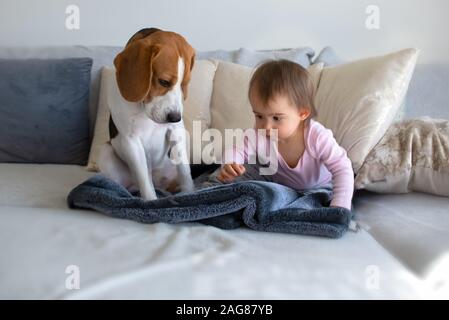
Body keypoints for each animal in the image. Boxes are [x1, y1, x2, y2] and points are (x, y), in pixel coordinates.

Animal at [97, 28, 195, 200]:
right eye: (163, 82)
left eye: (184, 85)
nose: (175, 118)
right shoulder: (131, 141)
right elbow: (145, 181)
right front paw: (151, 202)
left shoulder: (176, 132)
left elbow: (185, 172)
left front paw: (189, 193)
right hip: (106, 151)